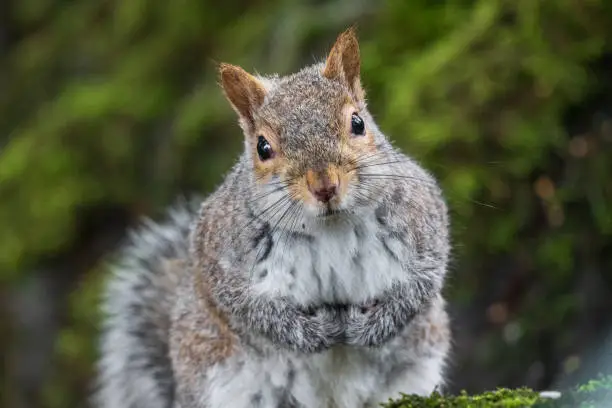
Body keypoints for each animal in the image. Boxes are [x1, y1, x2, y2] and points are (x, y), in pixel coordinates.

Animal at [94, 28, 450, 408]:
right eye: (262, 147)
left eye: (358, 123)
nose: (325, 185)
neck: (330, 226)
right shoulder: (221, 256)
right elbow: (249, 309)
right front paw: (312, 332)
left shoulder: (422, 218)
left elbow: (421, 284)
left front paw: (374, 325)